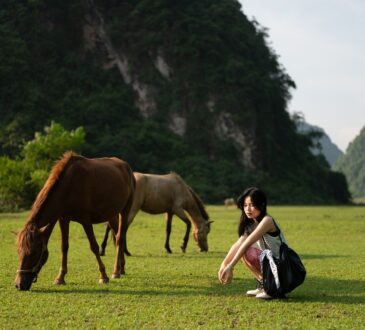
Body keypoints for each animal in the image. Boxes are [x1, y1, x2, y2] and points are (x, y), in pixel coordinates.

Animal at [14, 152, 135, 292]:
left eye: (33, 253)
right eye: (19, 252)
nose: (19, 285)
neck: (69, 185)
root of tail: (125, 166)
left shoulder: (86, 220)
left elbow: (94, 246)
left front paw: (103, 276)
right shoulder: (63, 219)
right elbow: (64, 247)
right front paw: (60, 278)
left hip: (124, 211)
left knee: (120, 238)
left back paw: (116, 271)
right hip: (111, 214)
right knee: (117, 236)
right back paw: (121, 268)